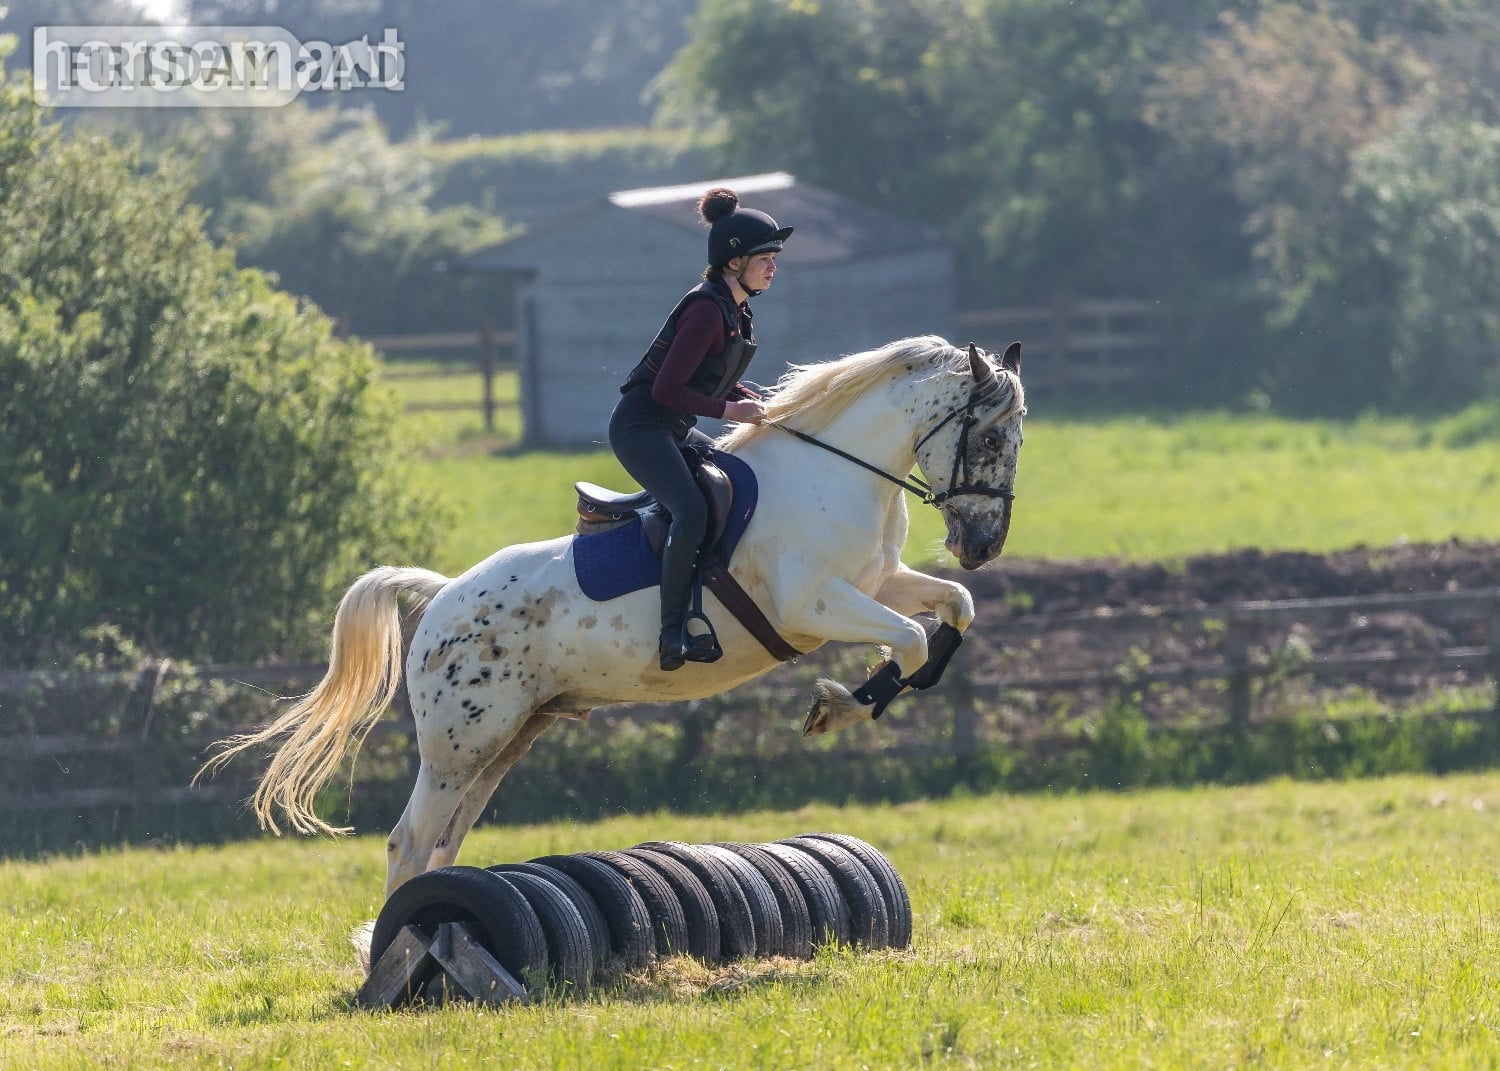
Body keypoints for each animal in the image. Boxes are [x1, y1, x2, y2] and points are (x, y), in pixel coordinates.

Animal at [204, 335, 1025, 897]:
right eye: (989, 437)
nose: (982, 544)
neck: (838, 470)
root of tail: (439, 599)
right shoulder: (815, 604)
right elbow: (911, 638)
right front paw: (838, 704)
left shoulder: (877, 582)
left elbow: (951, 612)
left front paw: (874, 691)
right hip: (457, 746)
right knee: (409, 841)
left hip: (507, 738)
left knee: (444, 841)